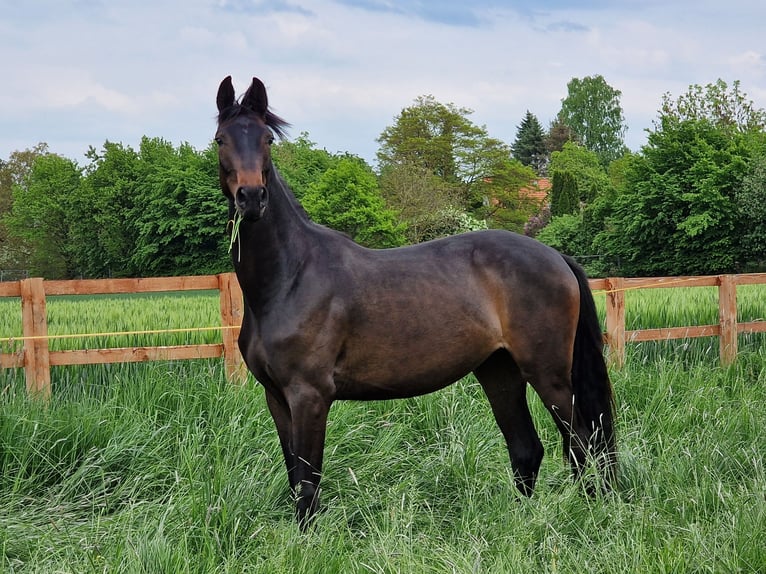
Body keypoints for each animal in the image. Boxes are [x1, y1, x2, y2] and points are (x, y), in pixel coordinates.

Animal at [214, 76, 617, 528]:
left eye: (266, 139)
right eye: (220, 140)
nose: (251, 198)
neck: (290, 278)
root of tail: (556, 257)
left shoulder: (309, 396)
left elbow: (307, 482)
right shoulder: (277, 398)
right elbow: (294, 475)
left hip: (548, 375)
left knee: (583, 443)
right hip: (499, 371)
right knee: (528, 449)